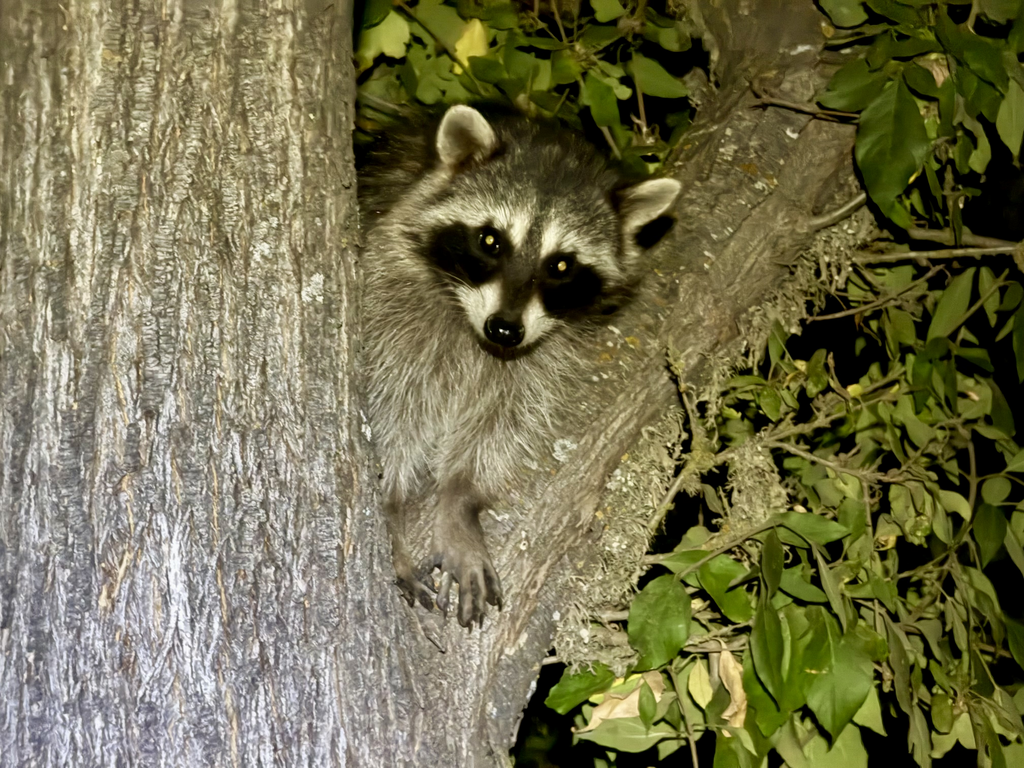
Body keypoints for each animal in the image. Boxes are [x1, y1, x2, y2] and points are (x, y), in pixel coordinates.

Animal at [359, 105, 680, 627]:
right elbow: (393, 399)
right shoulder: (390, 296)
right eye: (490, 240)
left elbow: (503, 422)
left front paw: (459, 497)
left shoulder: (538, 358)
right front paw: (393, 499)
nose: (505, 330)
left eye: (561, 266)